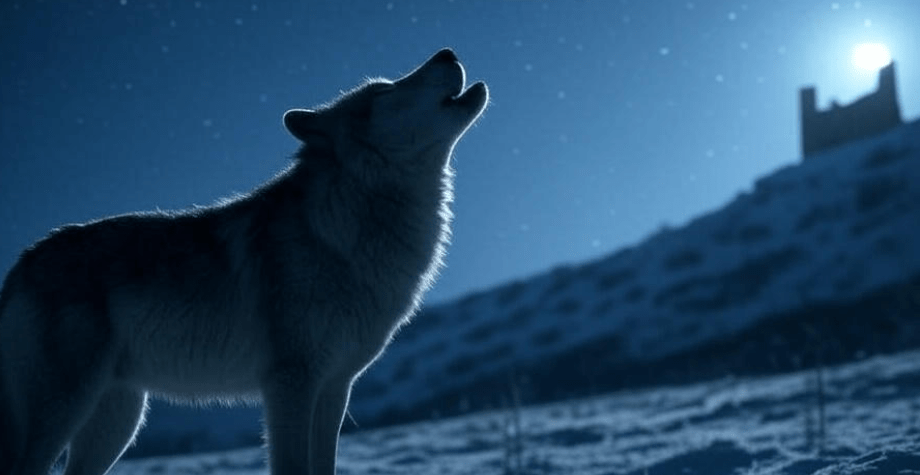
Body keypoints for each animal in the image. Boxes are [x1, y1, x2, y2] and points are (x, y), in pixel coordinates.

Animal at [0, 48, 488, 475]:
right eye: (387, 90)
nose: (447, 52)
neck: (341, 230)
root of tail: (22, 261)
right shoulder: (291, 383)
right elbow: (292, 466)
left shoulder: (334, 388)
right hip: (68, 409)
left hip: (117, 422)